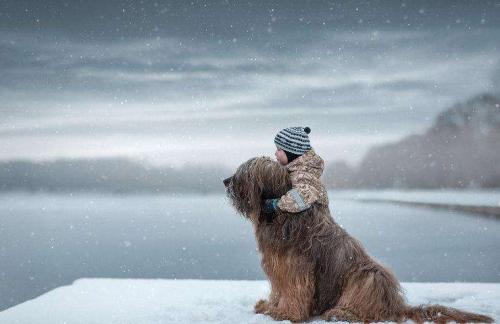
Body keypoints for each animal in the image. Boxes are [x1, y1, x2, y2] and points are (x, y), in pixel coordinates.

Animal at [225, 156, 494, 322]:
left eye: (244, 173)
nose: (226, 181)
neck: (279, 213)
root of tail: (396, 305)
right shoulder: (278, 266)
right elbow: (279, 290)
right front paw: (269, 306)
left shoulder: (295, 268)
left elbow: (293, 291)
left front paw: (285, 314)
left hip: (369, 276)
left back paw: (343, 312)